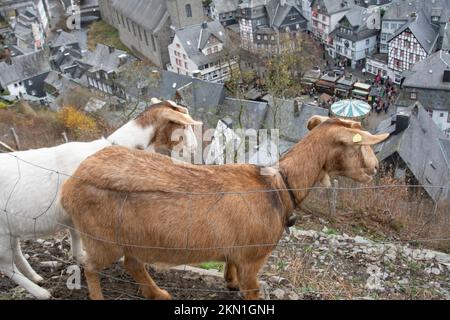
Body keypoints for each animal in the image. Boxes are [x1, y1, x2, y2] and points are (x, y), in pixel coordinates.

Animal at [60, 117, 390, 300]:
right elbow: (253, 289)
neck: (278, 186)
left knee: (132, 263)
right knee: (91, 266)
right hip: (101, 239)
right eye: (359, 144)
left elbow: (230, 267)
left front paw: (229, 283)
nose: (375, 168)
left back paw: (158, 294)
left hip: (129, 238)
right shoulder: (254, 255)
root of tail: (70, 185)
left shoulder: (238, 250)